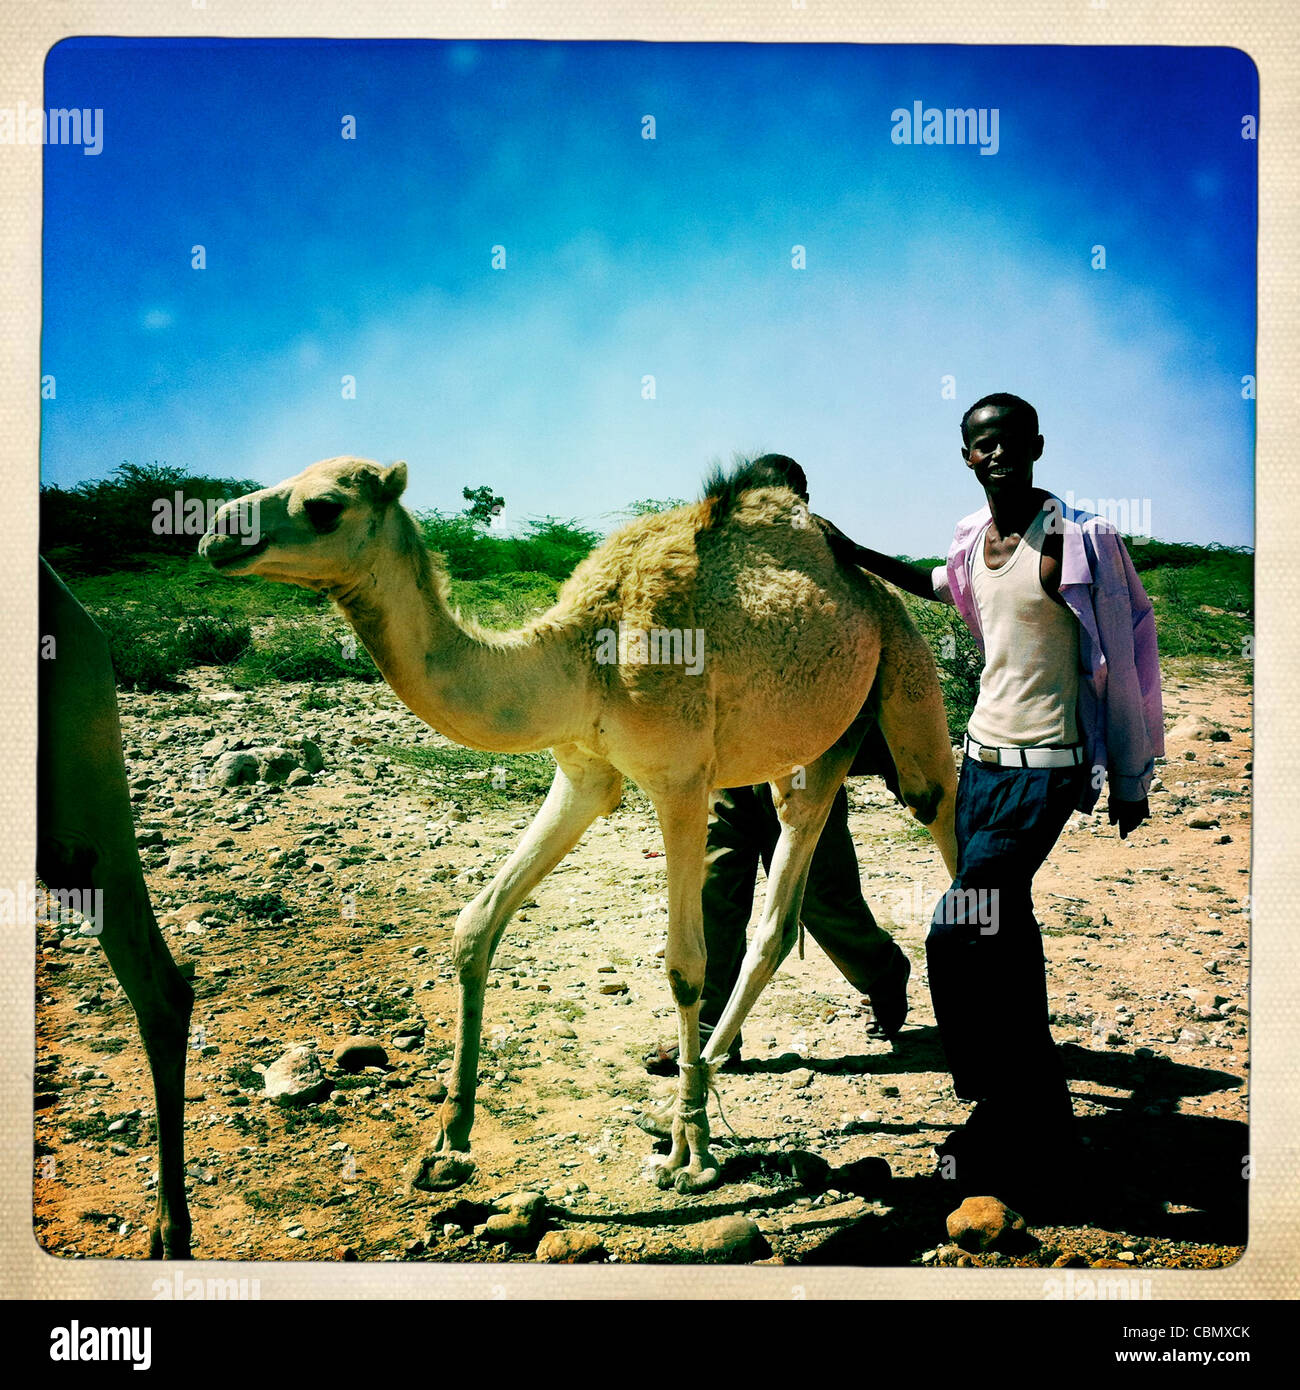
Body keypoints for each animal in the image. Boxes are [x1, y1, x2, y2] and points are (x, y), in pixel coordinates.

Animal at [200, 455, 956, 1195]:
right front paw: (448, 1144)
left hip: (906, 670)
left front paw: (690, 1159)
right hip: (818, 747)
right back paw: (694, 1089)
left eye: (324, 506)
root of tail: (867, 584)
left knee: (934, 806)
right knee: (779, 913)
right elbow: (475, 923)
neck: (579, 663)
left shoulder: (679, 779)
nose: (214, 534)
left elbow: (684, 966)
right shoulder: (584, 772)